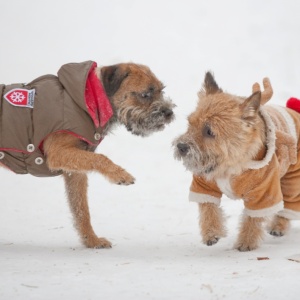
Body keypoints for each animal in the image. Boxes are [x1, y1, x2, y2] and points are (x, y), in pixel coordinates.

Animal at [0, 59, 175, 247]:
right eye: (145, 94)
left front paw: (91, 240)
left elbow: (81, 208)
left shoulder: (74, 171)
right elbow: (99, 158)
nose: (169, 112)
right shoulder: (58, 152)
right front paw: (120, 174)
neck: (90, 99)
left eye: (161, 90)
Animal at [173, 72, 300, 251]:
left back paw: (278, 226)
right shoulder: (204, 186)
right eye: (190, 123)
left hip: (292, 180)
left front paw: (246, 242)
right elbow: (208, 207)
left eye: (209, 131)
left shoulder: (263, 193)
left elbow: (252, 219)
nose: (181, 146)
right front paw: (211, 232)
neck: (230, 165)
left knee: (289, 206)